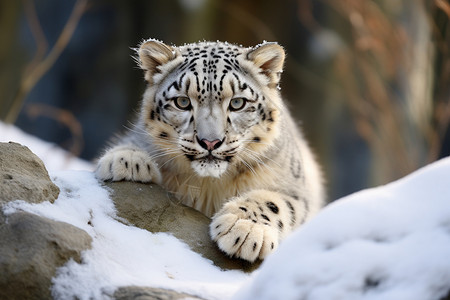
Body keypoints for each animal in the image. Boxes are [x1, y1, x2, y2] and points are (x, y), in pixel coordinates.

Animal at [95, 38, 324, 262]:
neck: (209, 185)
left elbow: (275, 201)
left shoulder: (297, 190)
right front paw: (127, 159)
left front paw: (244, 228)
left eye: (237, 102)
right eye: (182, 101)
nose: (210, 142)